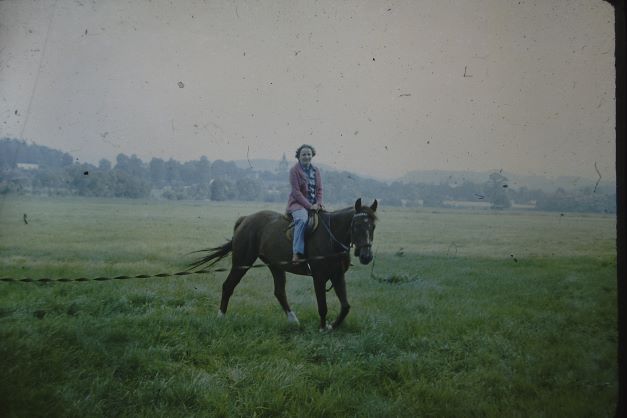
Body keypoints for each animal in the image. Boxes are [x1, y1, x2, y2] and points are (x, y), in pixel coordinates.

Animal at [189, 198, 378, 330]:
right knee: (228, 286)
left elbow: (345, 306)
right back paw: (220, 317)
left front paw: (332, 326)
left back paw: (293, 320)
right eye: (355, 225)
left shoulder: (337, 276)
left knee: (279, 292)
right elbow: (322, 306)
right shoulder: (319, 277)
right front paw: (322, 328)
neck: (331, 237)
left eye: (373, 227)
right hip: (242, 262)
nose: (366, 256)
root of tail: (245, 220)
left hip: (275, 265)